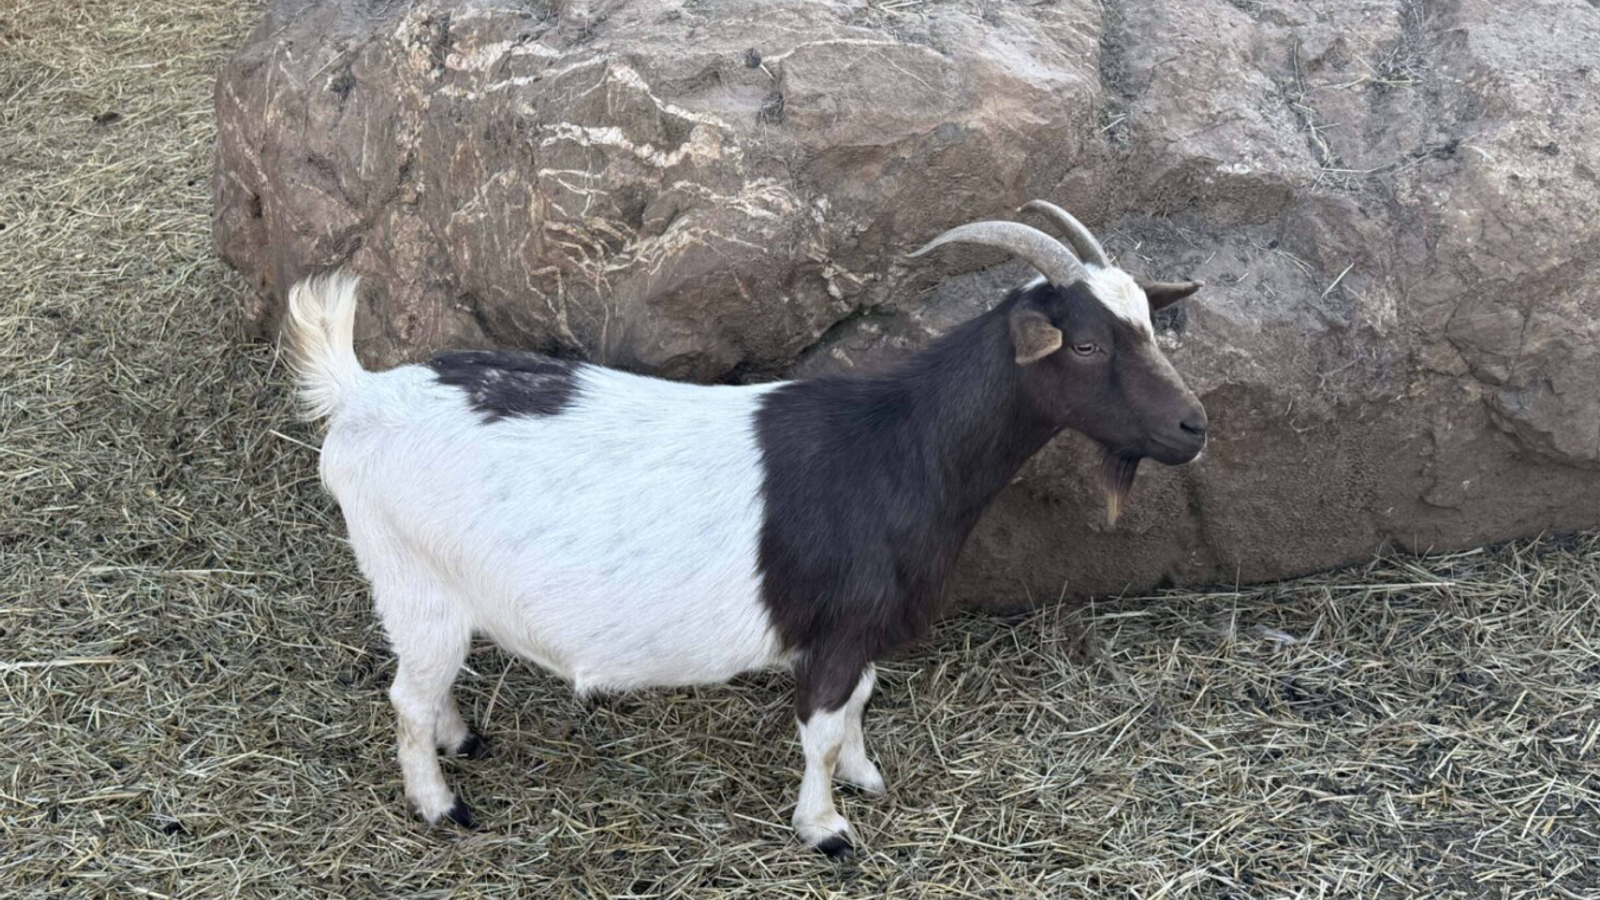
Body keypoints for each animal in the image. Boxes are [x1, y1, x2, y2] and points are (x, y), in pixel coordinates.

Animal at [284, 201, 1208, 857]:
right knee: (407, 695)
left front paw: (867, 777)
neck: (898, 444)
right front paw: (826, 828)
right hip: (412, 581)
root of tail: (360, 392)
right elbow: (822, 728)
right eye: (1085, 346)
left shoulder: (859, 631)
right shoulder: (839, 628)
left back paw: (463, 738)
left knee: (427, 685)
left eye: (1149, 325)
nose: (1194, 426)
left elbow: (860, 704)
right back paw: (441, 804)